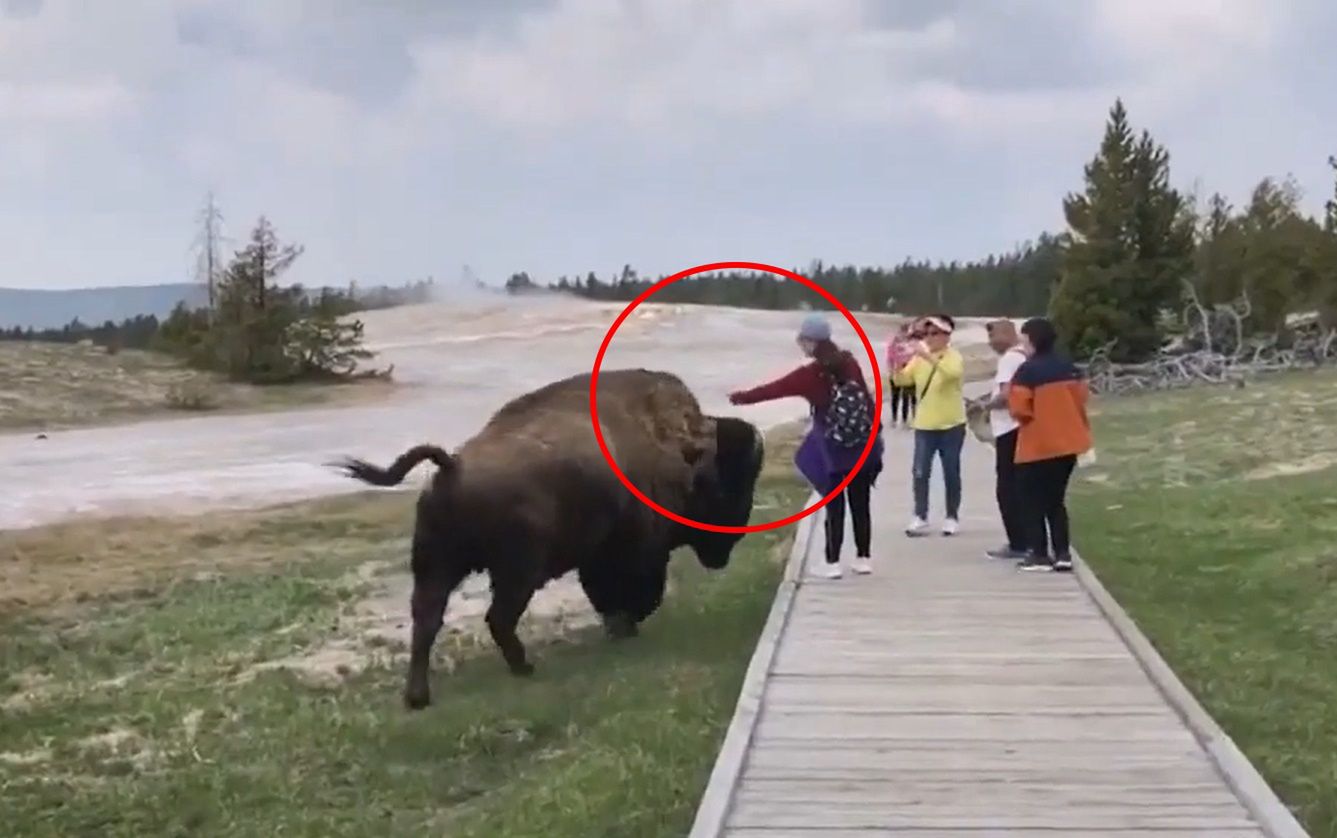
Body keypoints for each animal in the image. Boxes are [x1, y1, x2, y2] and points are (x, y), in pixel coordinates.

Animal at [332, 366, 764, 705]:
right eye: (730, 486)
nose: (731, 542)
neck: (679, 448)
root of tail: (453, 466)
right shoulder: (631, 552)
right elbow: (628, 592)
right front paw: (626, 626)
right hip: (517, 571)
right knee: (497, 617)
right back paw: (524, 667)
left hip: (437, 566)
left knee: (427, 619)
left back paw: (418, 697)